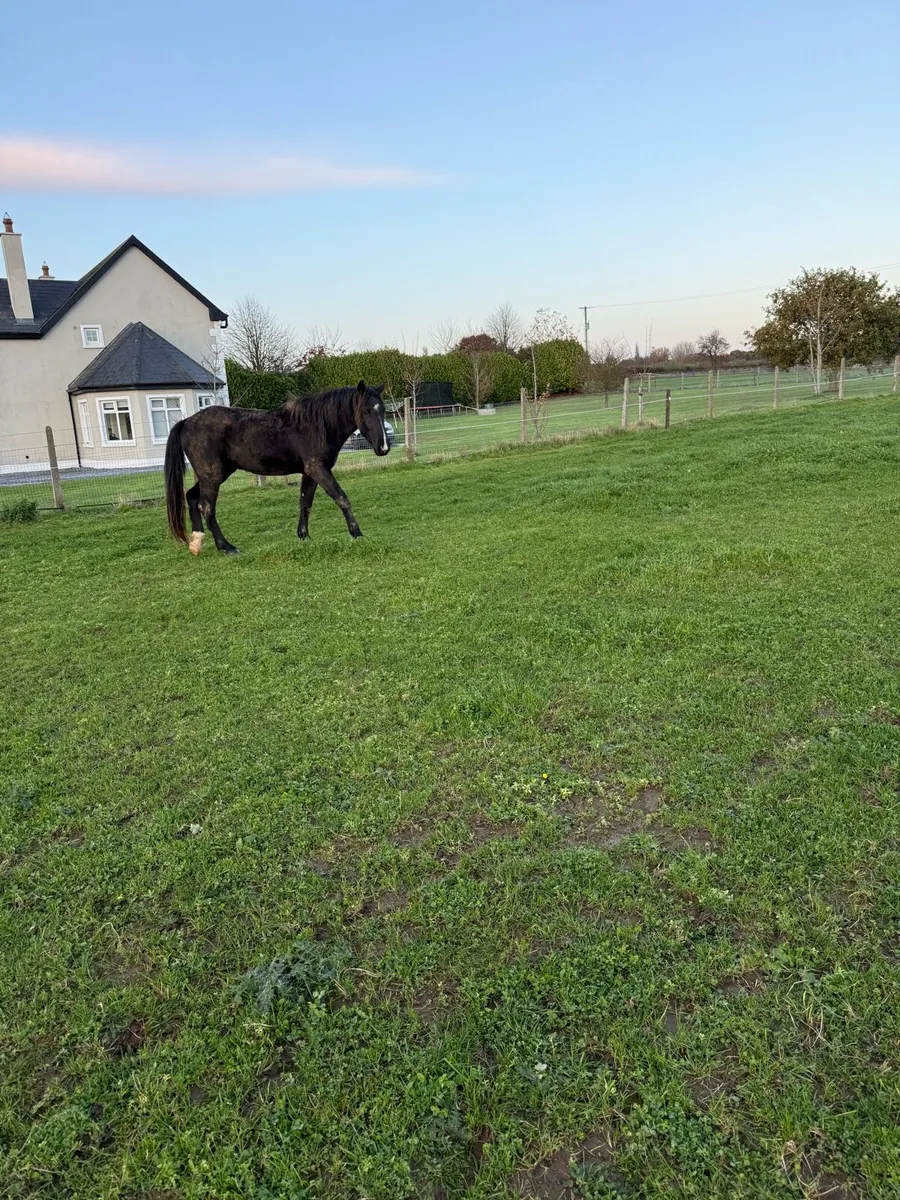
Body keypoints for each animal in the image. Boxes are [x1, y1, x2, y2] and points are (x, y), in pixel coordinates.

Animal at [164, 380, 390, 555]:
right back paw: (226, 547)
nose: (384, 447)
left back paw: (196, 543)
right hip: (212, 476)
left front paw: (304, 536)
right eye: (366, 411)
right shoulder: (318, 469)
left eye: (384, 410)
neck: (317, 426)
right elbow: (341, 498)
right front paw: (357, 533)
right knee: (206, 507)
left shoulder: (309, 473)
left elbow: (305, 503)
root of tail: (187, 421)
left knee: (192, 498)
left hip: (214, 474)